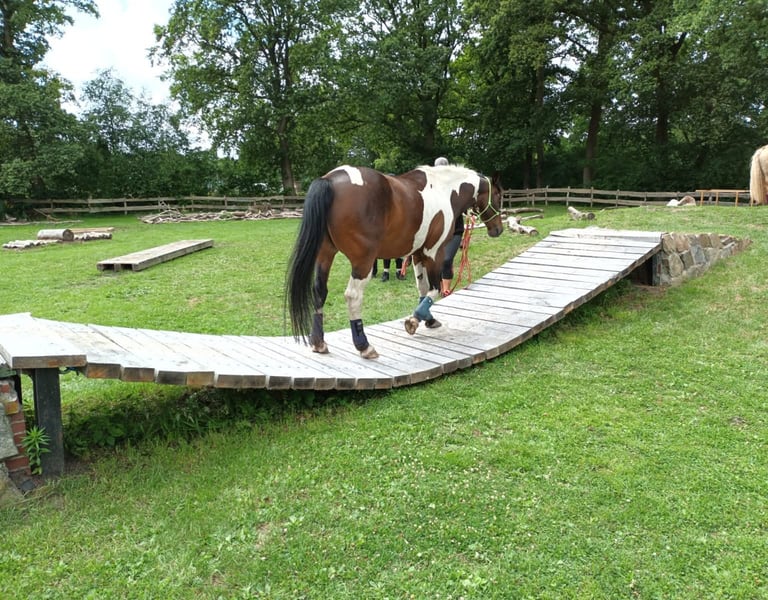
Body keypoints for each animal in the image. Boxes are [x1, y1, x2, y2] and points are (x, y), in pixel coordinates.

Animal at [285, 164, 505, 359]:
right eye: (499, 195)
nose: (498, 230)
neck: (445, 190)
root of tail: (330, 180)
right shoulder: (434, 252)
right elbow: (434, 289)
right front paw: (414, 320)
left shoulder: (417, 254)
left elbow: (422, 288)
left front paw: (428, 319)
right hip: (363, 262)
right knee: (353, 296)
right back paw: (364, 346)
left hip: (325, 255)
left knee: (319, 292)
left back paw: (318, 343)